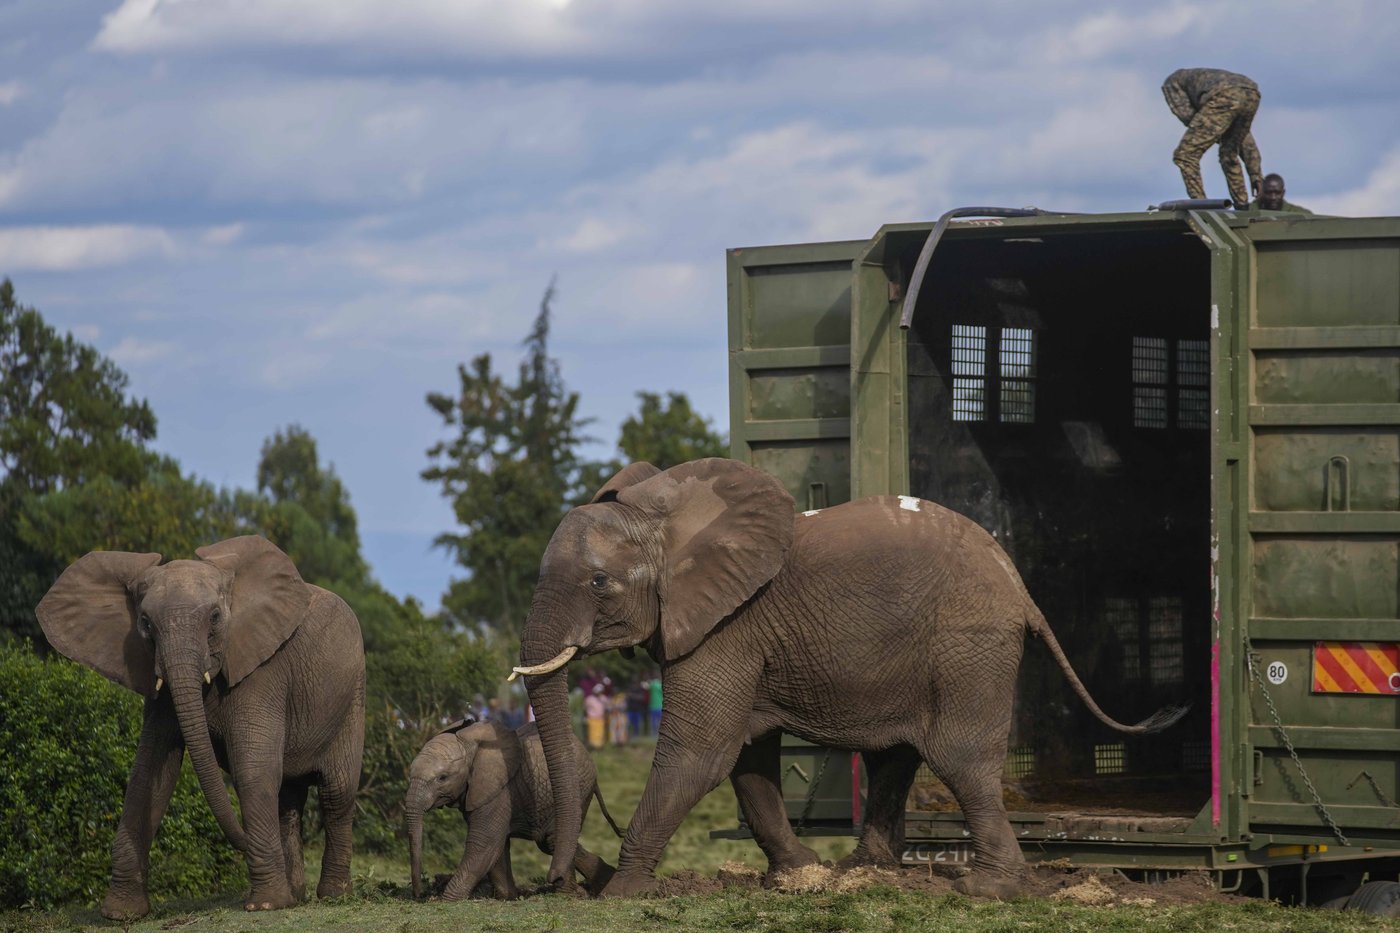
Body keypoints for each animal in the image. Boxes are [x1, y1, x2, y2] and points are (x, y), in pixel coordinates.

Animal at [35, 535, 365, 920]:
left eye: (215, 618)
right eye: (145, 623)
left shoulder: (263, 670)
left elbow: (253, 768)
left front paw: (265, 905)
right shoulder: (159, 689)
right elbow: (149, 771)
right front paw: (122, 914)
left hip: (352, 699)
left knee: (336, 793)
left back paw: (332, 896)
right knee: (288, 798)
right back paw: (295, 895)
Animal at [405, 718, 622, 900]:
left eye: (442, 778)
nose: (420, 894)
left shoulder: (499, 791)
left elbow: (484, 842)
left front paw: (447, 900)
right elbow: (498, 846)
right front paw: (509, 896)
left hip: (580, 787)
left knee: (551, 840)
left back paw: (572, 894)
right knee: (551, 842)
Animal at [510, 458, 1185, 899]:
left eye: (599, 583)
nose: (557, 880)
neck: (666, 515)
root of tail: (1017, 582)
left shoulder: (727, 624)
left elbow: (702, 748)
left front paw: (621, 894)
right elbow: (747, 753)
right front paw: (798, 872)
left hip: (967, 643)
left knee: (960, 757)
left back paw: (986, 889)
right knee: (899, 752)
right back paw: (865, 871)